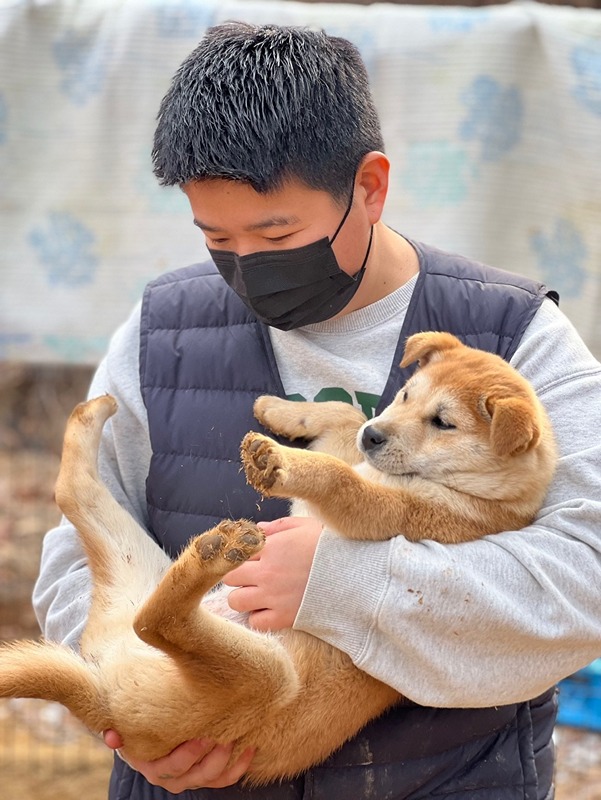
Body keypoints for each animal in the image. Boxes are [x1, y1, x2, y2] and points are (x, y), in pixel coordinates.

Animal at [0, 332, 556, 788]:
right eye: (404, 396)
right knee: (73, 492)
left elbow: (339, 476)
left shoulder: (386, 513)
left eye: (444, 422)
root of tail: (103, 704)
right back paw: (96, 408)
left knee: (158, 621)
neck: (485, 497)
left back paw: (213, 557)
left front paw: (281, 460)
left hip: (264, 677)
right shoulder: (346, 456)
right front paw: (279, 412)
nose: (375, 439)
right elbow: (343, 418)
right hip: (134, 563)